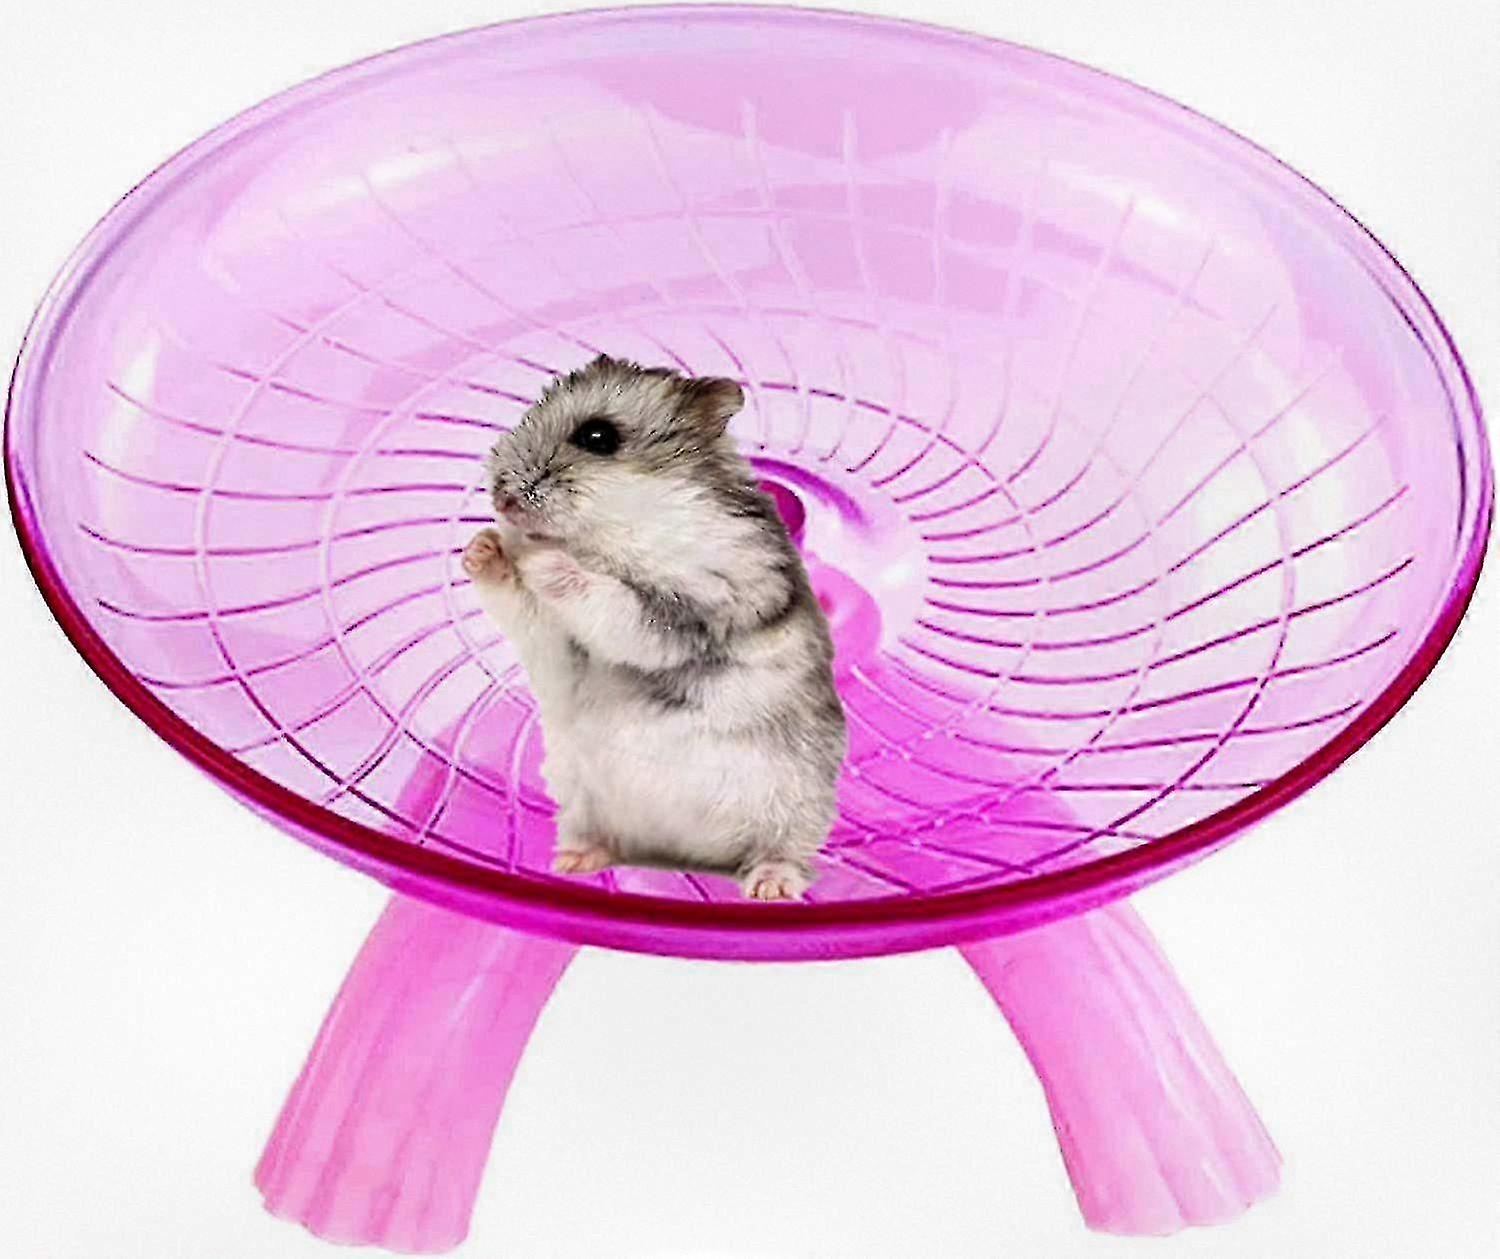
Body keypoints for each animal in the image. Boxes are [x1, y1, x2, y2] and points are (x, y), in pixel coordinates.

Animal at [462, 354, 847, 900]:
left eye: (598, 436)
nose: (500, 499)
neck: (620, 528)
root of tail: (690, 852)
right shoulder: (558, 645)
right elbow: (526, 607)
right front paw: (482, 546)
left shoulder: (690, 607)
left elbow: (610, 599)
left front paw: (543, 560)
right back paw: (571, 862)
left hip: (799, 805)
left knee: (784, 852)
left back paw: (768, 886)